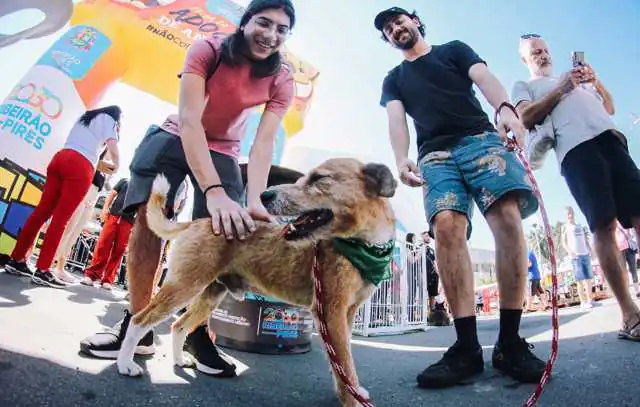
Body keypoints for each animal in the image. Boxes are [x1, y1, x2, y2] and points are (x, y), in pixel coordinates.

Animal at [115, 159, 396, 407]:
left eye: (318, 178)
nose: (266, 195)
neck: (364, 246)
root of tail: (197, 222)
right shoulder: (330, 311)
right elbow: (345, 364)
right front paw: (352, 398)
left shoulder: (346, 314)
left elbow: (341, 362)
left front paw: (349, 389)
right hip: (184, 286)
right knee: (141, 320)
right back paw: (125, 363)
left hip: (209, 294)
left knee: (179, 325)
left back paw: (179, 360)